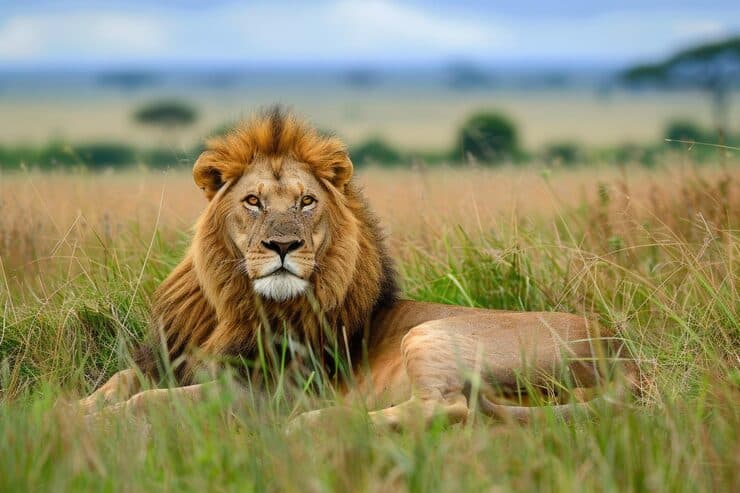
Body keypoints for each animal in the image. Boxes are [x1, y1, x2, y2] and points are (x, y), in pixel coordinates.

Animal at [79, 107, 635, 429]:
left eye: (306, 202)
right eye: (253, 202)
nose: (283, 245)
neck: (234, 304)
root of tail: (623, 353)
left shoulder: (266, 393)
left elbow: (153, 401)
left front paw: (95, 425)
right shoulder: (172, 360)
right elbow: (121, 382)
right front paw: (68, 412)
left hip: (431, 335)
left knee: (450, 407)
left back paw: (324, 422)